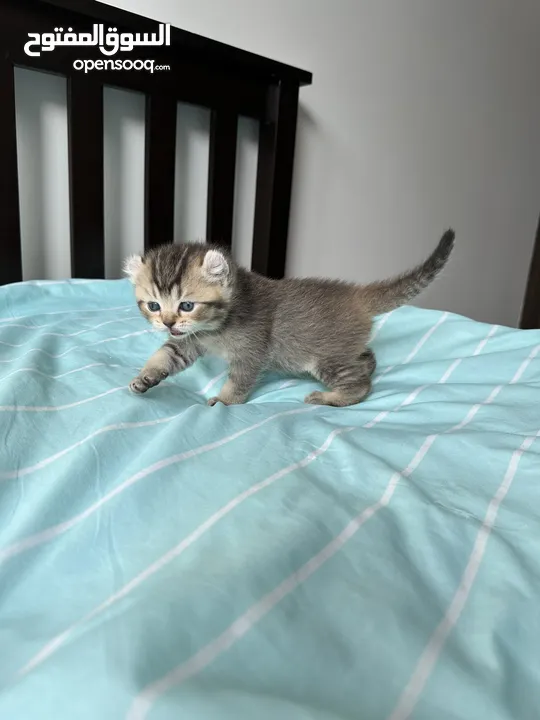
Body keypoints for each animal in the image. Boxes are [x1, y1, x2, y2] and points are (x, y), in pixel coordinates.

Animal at [124, 231, 454, 404]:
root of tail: (355, 295)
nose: (167, 323)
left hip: (326, 356)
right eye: (153, 306)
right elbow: (165, 355)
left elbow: (239, 381)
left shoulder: (251, 352)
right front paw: (145, 377)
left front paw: (225, 401)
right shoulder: (188, 341)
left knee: (360, 384)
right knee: (366, 357)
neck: (216, 326)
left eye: (187, 305)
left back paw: (331, 398)